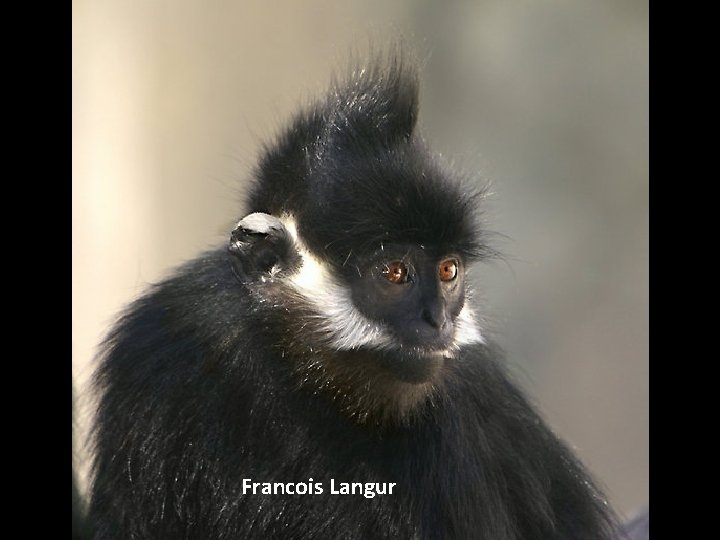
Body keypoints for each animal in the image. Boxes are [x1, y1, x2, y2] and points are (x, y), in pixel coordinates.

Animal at [88, 52, 620, 536]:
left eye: (448, 271)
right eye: (395, 273)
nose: (438, 321)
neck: (299, 370)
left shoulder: (474, 391)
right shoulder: (168, 336)